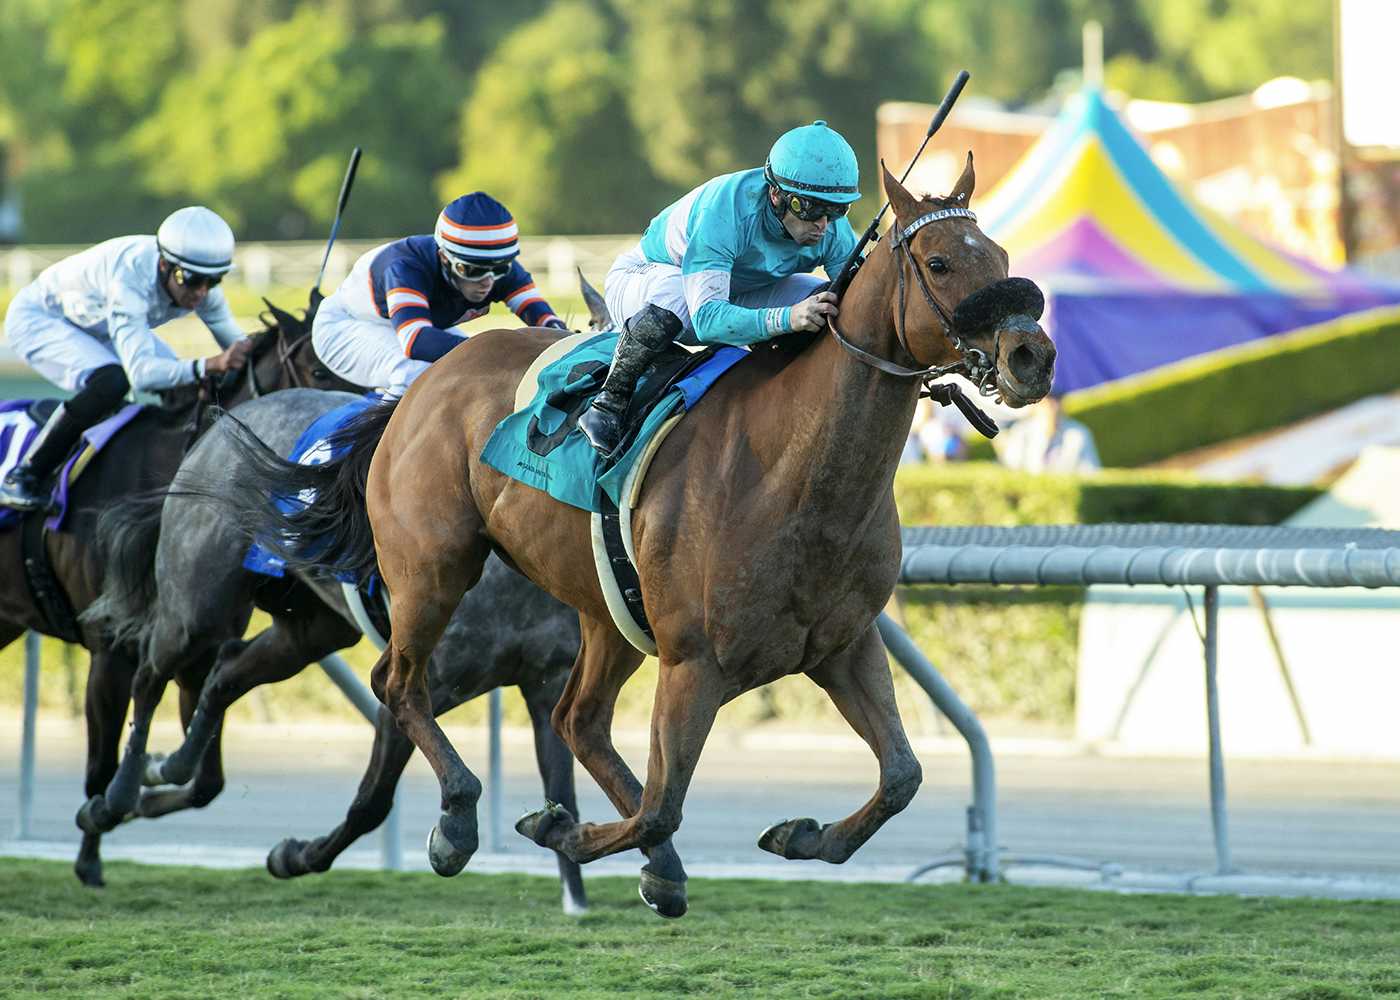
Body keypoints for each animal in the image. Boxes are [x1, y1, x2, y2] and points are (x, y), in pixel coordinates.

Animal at [0, 299, 361, 885]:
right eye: (320, 370)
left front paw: (142, 796)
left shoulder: (202, 647)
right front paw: (92, 849)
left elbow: (206, 778)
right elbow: (102, 766)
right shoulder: (112, 649)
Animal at [86, 386, 590, 913]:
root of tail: (226, 422)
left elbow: (563, 792)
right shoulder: (420, 684)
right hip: (198, 604)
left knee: (225, 671)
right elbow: (372, 803)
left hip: (308, 628)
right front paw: (298, 855)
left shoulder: (545, 686)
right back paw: (119, 793)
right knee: (151, 672)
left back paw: (169, 766)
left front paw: (577, 896)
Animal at [191, 159, 1052, 913]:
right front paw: (559, 830)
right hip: (432, 569)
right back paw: (458, 821)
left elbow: (902, 776)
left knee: (577, 719)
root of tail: (418, 386)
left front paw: (799, 835)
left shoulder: (843, 643)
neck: (797, 473)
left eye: (1004, 256)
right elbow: (664, 803)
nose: (1032, 356)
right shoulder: (693, 660)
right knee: (400, 684)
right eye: (939, 261)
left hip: (602, 609)